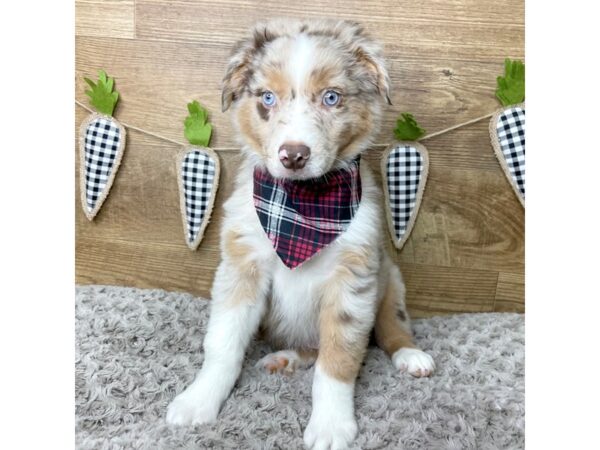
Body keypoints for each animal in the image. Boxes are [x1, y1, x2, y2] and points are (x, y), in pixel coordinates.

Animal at [166, 18, 434, 450]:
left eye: (331, 98)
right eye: (267, 99)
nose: (293, 155)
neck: (302, 206)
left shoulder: (352, 279)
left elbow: (338, 360)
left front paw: (331, 425)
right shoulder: (241, 267)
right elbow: (223, 343)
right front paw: (198, 400)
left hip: (390, 280)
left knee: (392, 328)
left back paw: (411, 356)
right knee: (311, 348)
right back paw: (285, 358)